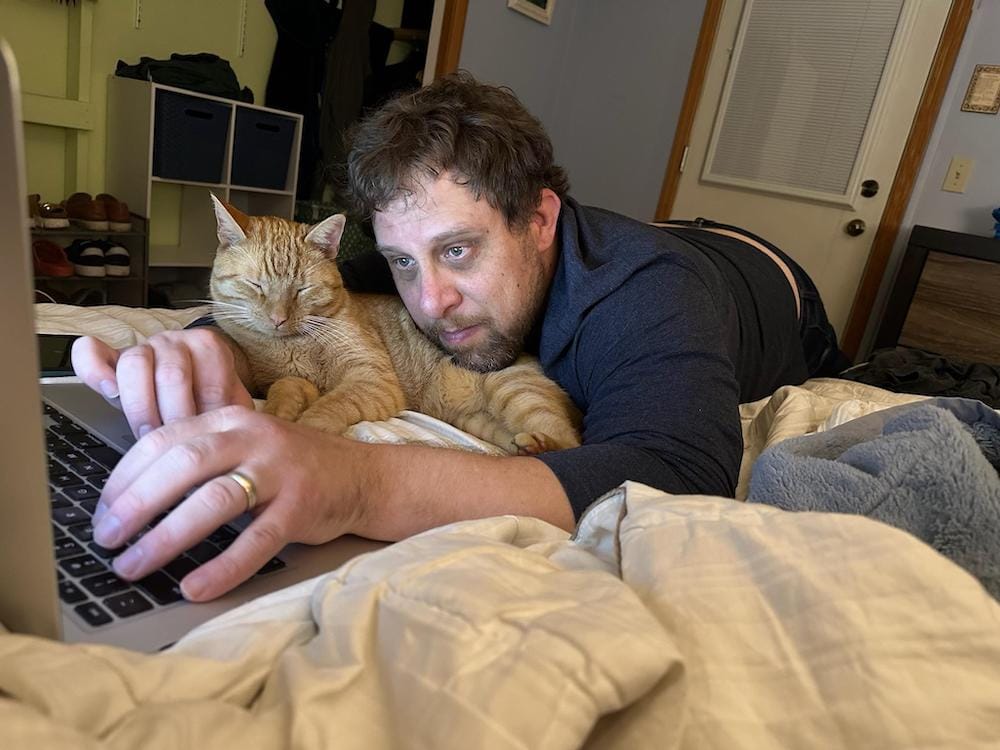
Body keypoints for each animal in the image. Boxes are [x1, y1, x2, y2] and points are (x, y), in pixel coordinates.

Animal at [207, 197, 584, 456]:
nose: (278, 318)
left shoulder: (371, 381)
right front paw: (277, 415)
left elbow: (327, 409)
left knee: (569, 440)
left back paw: (539, 443)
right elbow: (285, 387)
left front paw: (300, 434)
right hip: (480, 422)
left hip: (518, 393)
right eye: (255, 285)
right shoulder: (295, 380)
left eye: (302, 289)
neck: (292, 345)